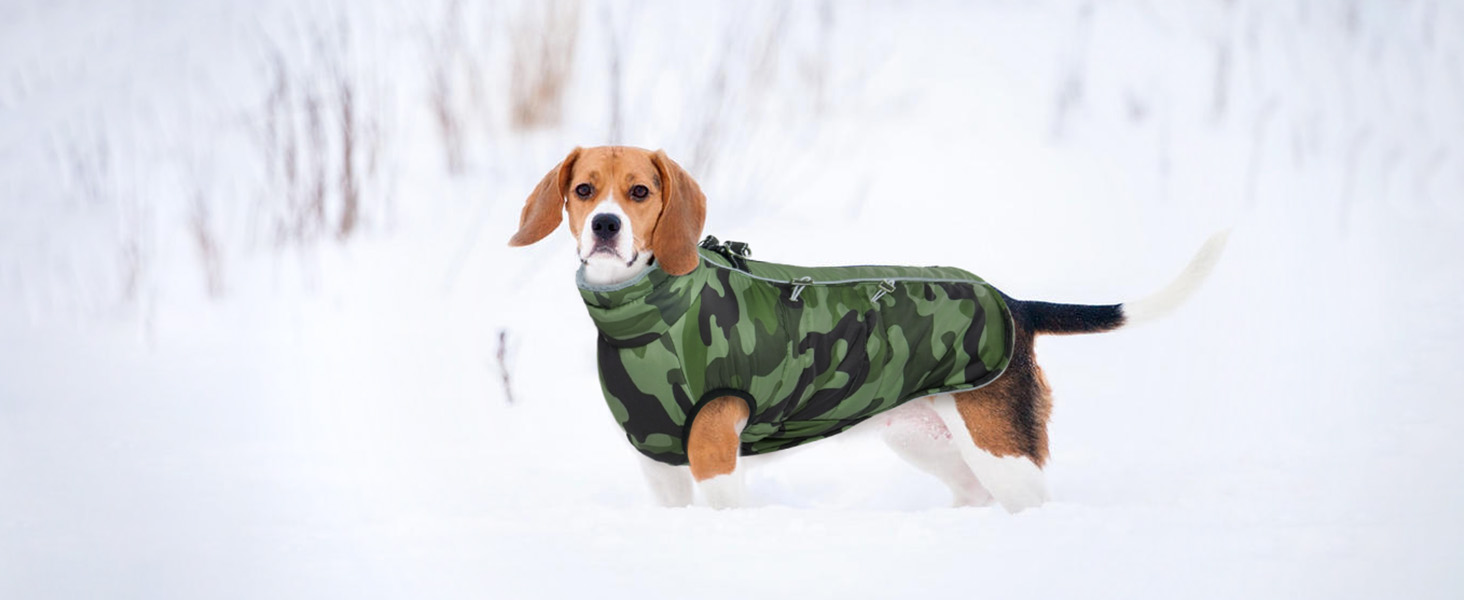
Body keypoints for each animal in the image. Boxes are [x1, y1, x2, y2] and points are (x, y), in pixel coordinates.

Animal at [509, 145, 1229, 512]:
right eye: (583, 189)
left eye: (639, 192)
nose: (605, 226)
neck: (649, 312)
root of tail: (1014, 303)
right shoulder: (657, 461)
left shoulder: (714, 454)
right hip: (930, 443)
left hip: (1002, 453)